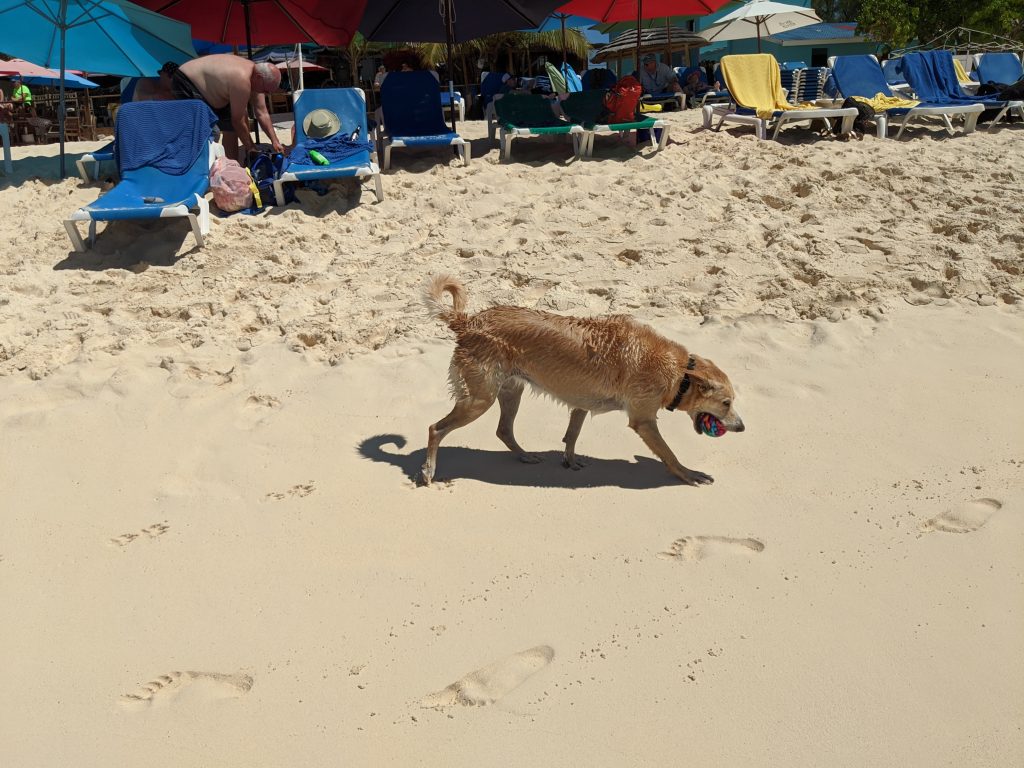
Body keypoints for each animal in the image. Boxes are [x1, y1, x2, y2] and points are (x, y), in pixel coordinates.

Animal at [415, 278, 745, 487]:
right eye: (726, 403)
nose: (741, 427)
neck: (679, 371)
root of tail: (468, 322)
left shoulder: (581, 404)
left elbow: (571, 436)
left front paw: (570, 462)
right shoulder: (644, 421)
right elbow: (669, 454)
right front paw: (689, 474)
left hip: (511, 391)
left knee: (503, 430)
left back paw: (524, 456)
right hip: (478, 399)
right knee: (435, 428)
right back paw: (429, 472)